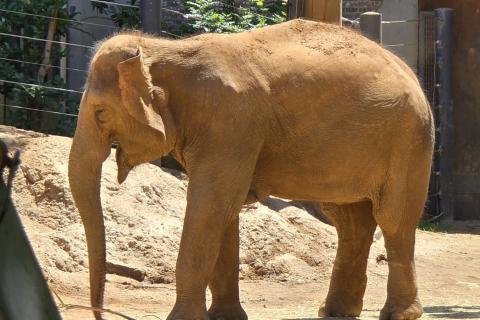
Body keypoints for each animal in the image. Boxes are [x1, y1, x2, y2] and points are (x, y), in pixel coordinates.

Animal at [68, 18, 436, 318]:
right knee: (348, 220)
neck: (164, 49)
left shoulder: (232, 123)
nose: (100, 314)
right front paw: (226, 318)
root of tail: (409, 71)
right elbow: (223, 211)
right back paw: (336, 312)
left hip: (408, 140)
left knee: (393, 218)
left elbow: (211, 205)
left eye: (100, 113)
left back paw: (399, 314)